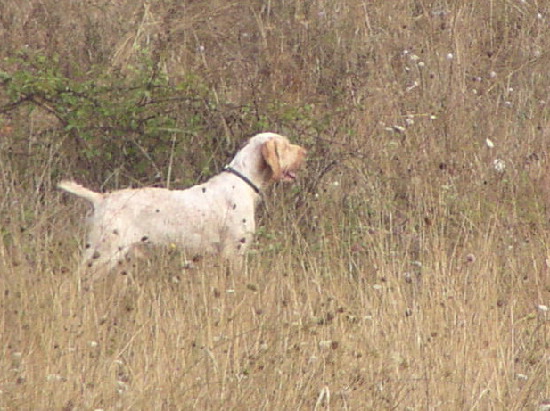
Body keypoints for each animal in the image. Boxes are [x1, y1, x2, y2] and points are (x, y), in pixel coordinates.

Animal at [58, 132, 308, 280]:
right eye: (286, 146)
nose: (305, 152)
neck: (243, 181)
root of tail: (100, 198)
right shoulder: (234, 252)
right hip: (103, 253)